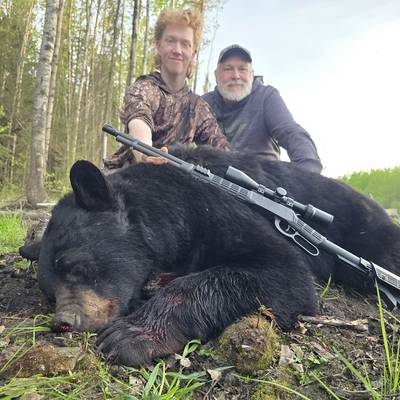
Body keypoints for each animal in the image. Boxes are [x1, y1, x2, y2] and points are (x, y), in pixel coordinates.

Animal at [20, 145, 400, 367]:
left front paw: (131, 335)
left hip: (371, 233)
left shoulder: (218, 210)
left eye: (77, 267)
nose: (64, 320)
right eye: (48, 291)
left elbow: (285, 272)